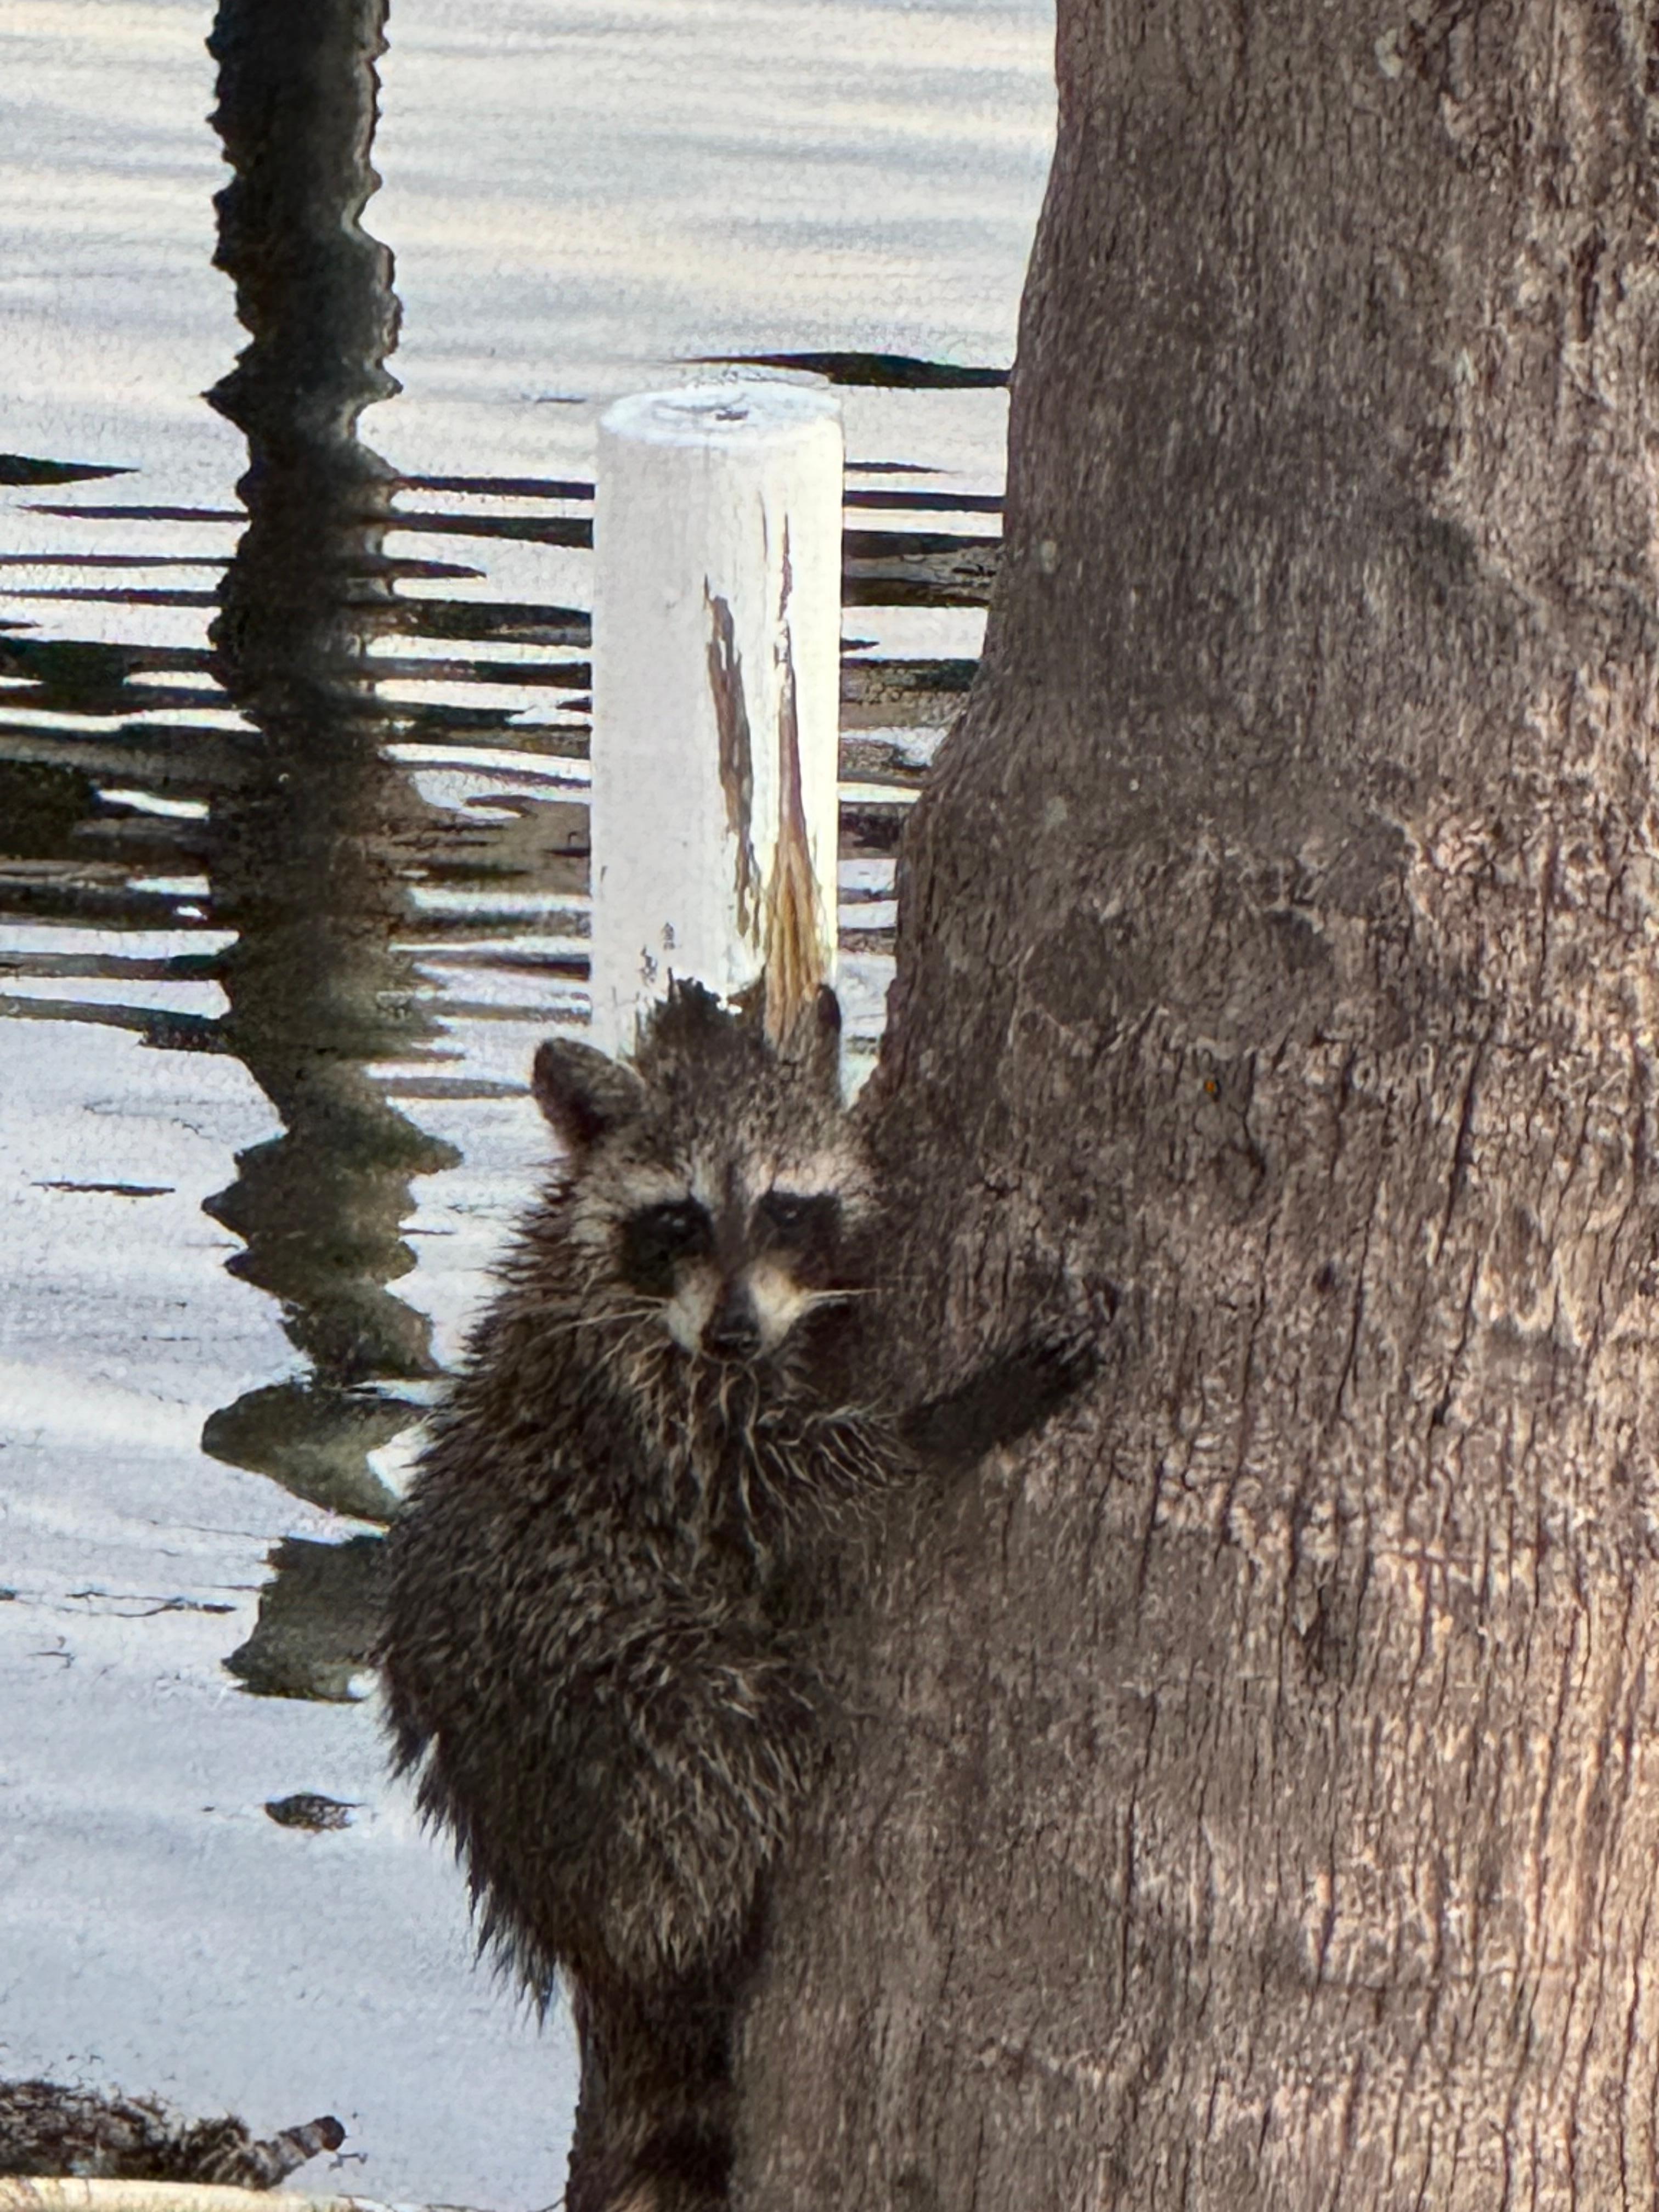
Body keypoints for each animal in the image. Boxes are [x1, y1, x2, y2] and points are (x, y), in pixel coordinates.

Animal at [380, 981, 1091, 2212]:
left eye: (784, 1207)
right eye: (678, 1220)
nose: (735, 1332)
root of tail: (557, 1899)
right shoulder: (645, 1399)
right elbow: (773, 1480)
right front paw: (932, 1427)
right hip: (612, 1712)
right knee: (730, 1720)